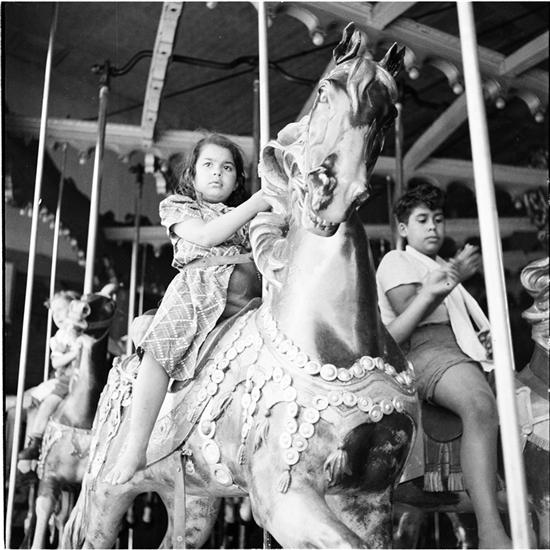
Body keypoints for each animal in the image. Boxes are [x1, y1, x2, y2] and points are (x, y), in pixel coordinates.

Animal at [20, 291, 116, 548]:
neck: (78, 416)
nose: (81, 310)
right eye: (83, 297)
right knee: (33, 515)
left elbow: (71, 523)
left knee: (62, 519)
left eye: (110, 303)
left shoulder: (79, 484)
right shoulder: (49, 477)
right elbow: (43, 511)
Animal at [64, 24, 419, 549]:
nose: (331, 194)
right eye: (324, 90)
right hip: (106, 493)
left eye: (390, 110)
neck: (341, 340)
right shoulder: (282, 496)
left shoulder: (371, 497)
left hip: (195, 496)